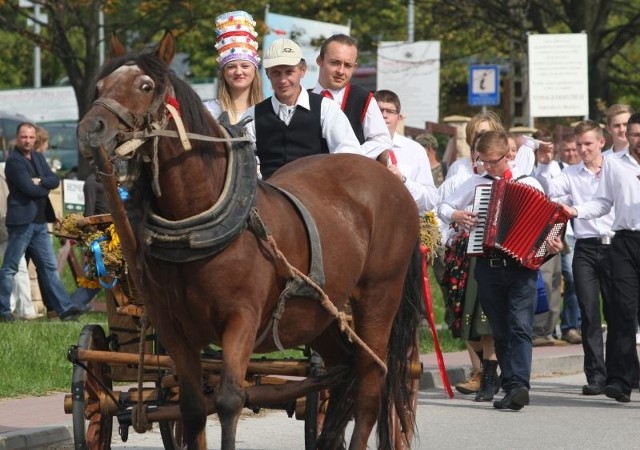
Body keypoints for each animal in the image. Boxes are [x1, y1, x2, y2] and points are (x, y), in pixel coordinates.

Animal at [77, 29, 422, 448]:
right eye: (100, 86)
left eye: (145, 86)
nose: (90, 130)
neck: (196, 220)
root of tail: (390, 183)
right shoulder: (175, 329)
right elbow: (192, 408)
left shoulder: (240, 318)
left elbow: (228, 400)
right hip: (321, 314)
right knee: (343, 372)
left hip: (378, 299)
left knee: (371, 387)